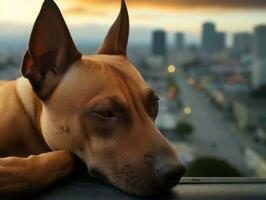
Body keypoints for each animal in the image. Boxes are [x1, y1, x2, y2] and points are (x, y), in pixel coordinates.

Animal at [0, 0, 186, 198]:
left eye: (155, 103)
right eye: (105, 113)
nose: (175, 171)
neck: (30, 115)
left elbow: (67, 157)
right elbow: (65, 157)